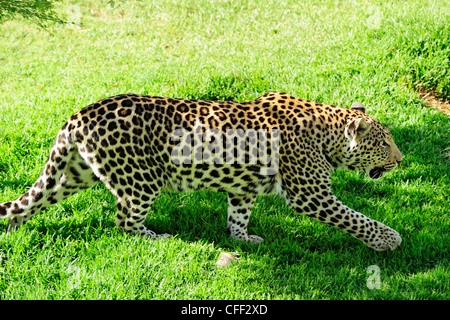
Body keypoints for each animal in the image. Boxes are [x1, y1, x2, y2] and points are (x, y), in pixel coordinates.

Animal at [0, 91, 400, 251]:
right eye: (383, 142)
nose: (399, 160)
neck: (328, 132)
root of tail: (78, 115)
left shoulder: (244, 189)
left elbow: (238, 215)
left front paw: (241, 239)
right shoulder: (310, 194)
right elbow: (354, 218)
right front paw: (388, 240)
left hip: (74, 175)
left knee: (31, 201)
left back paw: (14, 231)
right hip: (141, 180)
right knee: (124, 221)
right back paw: (157, 238)